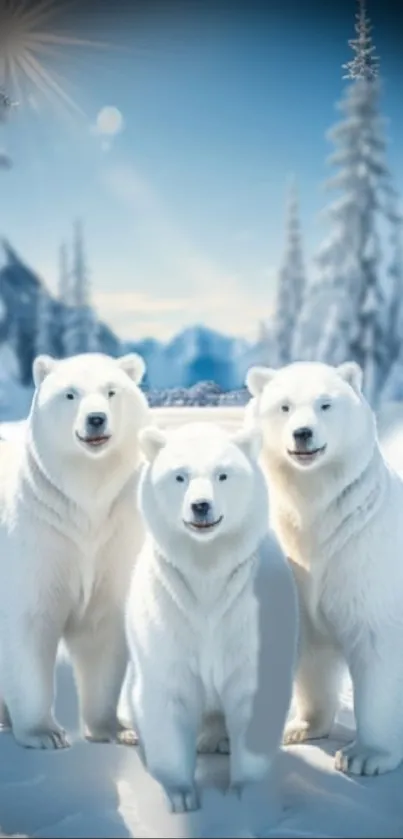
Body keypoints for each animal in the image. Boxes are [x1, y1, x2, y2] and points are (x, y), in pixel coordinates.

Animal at [0, 352, 150, 752]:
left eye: (111, 391)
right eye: (70, 394)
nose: (95, 419)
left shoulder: (115, 535)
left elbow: (104, 629)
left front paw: (115, 729)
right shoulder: (39, 535)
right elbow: (29, 626)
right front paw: (45, 733)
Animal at [126, 424, 272, 812]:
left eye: (223, 474)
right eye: (180, 476)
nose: (201, 506)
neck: (207, 567)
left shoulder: (245, 611)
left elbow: (251, 695)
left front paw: (244, 794)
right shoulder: (169, 610)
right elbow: (169, 693)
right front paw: (181, 795)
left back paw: (218, 740)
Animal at [246, 360, 403, 780]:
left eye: (326, 404)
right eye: (284, 406)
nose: (303, 433)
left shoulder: (363, 558)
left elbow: (377, 647)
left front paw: (365, 756)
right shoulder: (297, 565)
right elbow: (308, 650)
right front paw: (300, 728)